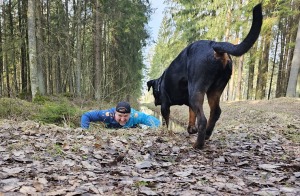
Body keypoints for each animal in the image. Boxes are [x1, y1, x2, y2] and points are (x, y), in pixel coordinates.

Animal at [148, 3, 262, 149]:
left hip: (196, 91)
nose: (155, 102)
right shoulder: (188, 104)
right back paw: (207, 133)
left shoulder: (165, 105)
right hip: (215, 90)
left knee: (202, 119)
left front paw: (165, 131)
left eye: (154, 93)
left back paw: (198, 143)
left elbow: (166, 121)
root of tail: (214, 45)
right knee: (215, 112)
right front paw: (191, 129)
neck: (160, 83)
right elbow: (191, 115)